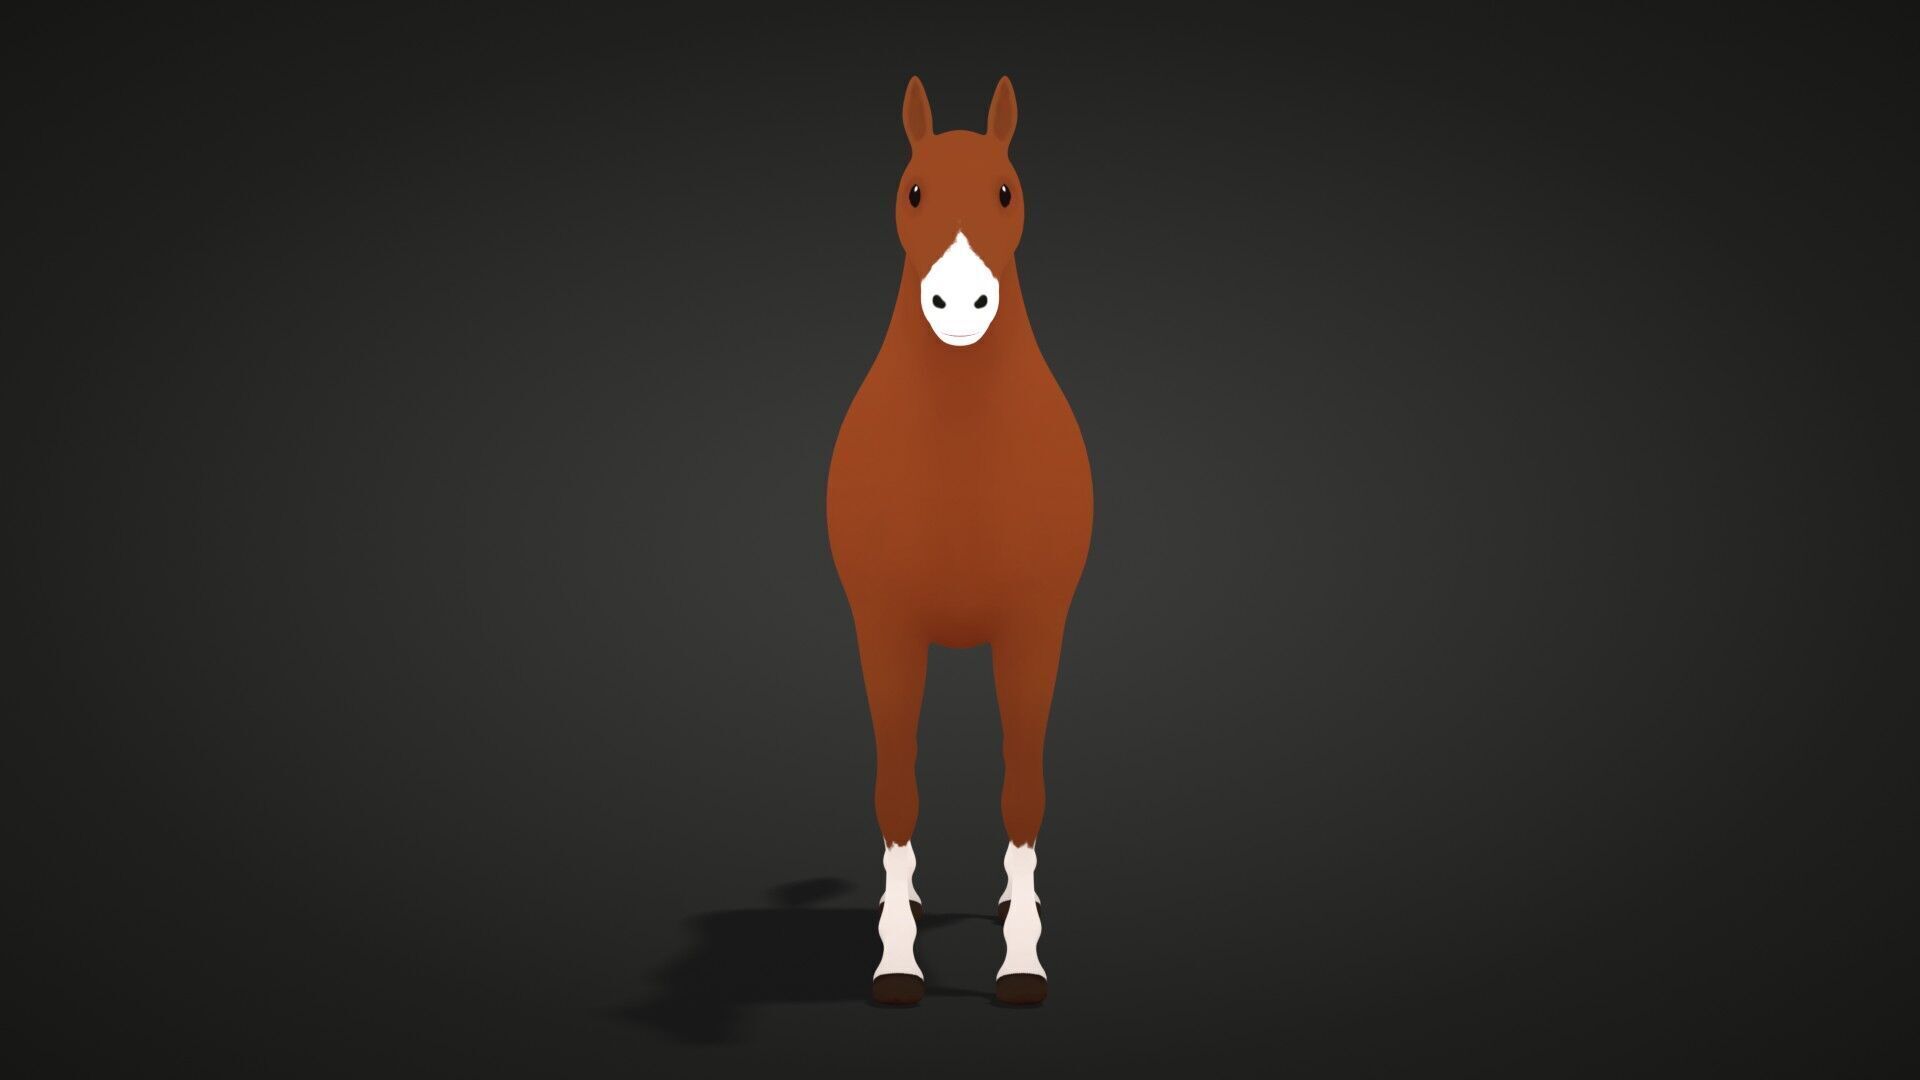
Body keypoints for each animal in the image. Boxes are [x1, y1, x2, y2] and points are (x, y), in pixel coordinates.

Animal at [825, 75, 1095, 1007]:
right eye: (914, 191)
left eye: (1005, 191)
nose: (959, 303)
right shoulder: (883, 631)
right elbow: (895, 795)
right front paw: (896, 960)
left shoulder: (1036, 631)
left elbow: (1024, 796)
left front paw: (1022, 960)